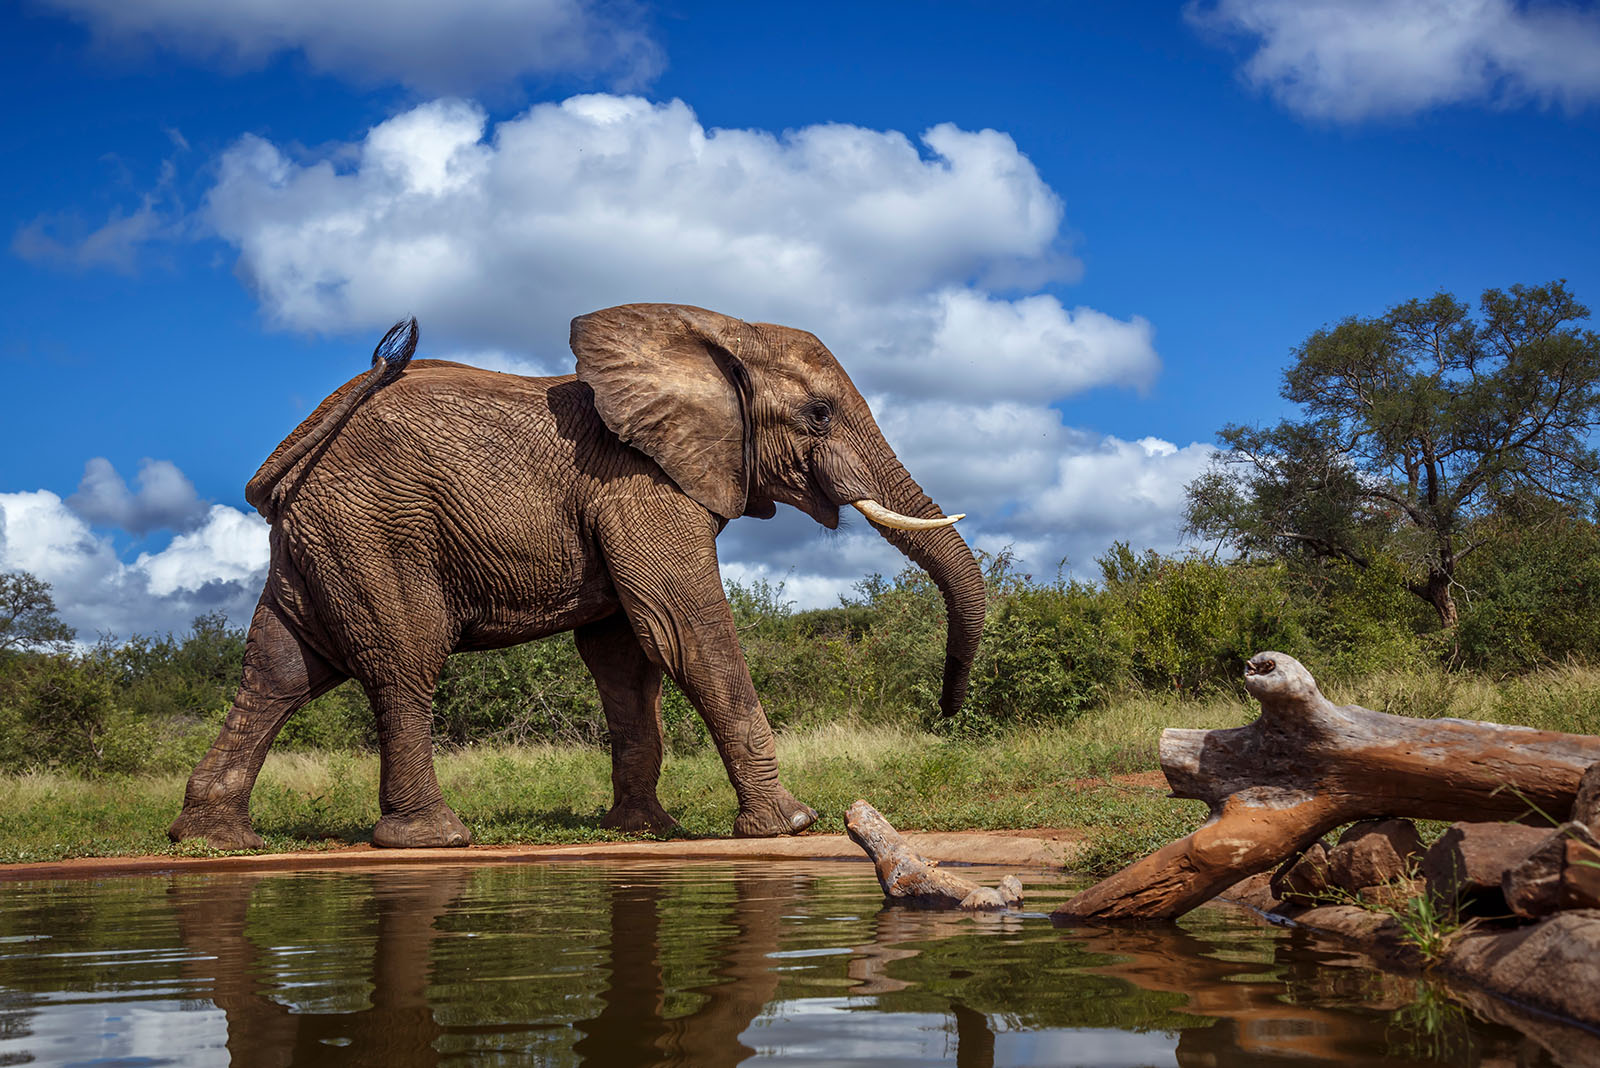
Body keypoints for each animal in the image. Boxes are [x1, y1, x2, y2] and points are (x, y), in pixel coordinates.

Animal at [168, 303, 979, 844]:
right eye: (817, 415)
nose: (945, 714)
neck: (719, 332)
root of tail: (298, 448)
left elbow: (626, 657)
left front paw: (644, 829)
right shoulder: (637, 482)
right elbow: (685, 630)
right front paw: (791, 825)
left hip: (321, 540)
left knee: (279, 671)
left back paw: (213, 839)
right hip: (377, 530)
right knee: (402, 664)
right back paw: (437, 838)